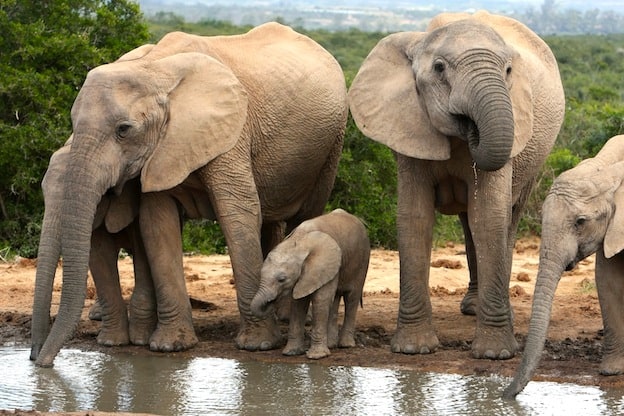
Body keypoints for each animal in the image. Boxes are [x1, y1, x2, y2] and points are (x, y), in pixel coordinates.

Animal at [30, 22, 346, 368]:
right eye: (73, 124)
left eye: (124, 130)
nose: (38, 361)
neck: (155, 69)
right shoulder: (159, 151)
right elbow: (156, 223)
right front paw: (171, 346)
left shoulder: (229, 130)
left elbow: (237, 213)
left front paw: (258, 346)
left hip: (331, 145)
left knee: (305, 215)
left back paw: (288, 316)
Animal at [251, 210, 370, 360]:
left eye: (282, 279)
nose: (270, 302)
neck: (299, 242)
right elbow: (298, 303)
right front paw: (291, 353)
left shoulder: (323, 264)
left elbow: (321, 299)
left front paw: (316, 356)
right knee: (335, 298)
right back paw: (331, 344)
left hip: (362, 260)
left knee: (351, 298)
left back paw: (346, 345)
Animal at [348, 11, 568, 360]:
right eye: (439, 68)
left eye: (508, 71)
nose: (472, 129)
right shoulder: (408, 125)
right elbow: (415, 217)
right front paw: (413, 350)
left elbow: (489, 218)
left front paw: (494, 355)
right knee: (469, 224)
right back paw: (472, 308)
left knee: (505, 220)